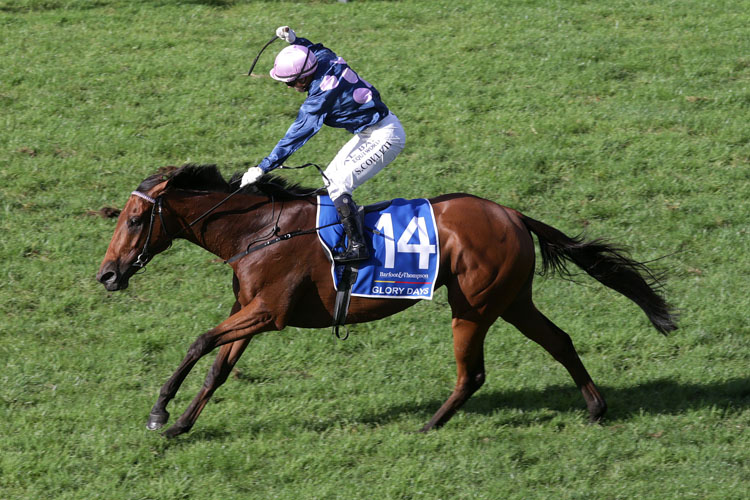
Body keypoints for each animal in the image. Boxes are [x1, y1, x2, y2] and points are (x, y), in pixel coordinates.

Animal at [97, 165, 680, 438]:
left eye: (134, 219)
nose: (107, 274)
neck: (259, 230)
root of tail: (513, 214)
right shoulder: (252, 313)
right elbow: (219, 368)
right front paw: (181, 424)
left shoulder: (269, 313)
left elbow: (199, 343)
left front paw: (159, 411)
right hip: (512, 300)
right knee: (558, 340)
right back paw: (596, 408)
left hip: (474, 305)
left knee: (472, 373)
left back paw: (429, 426)